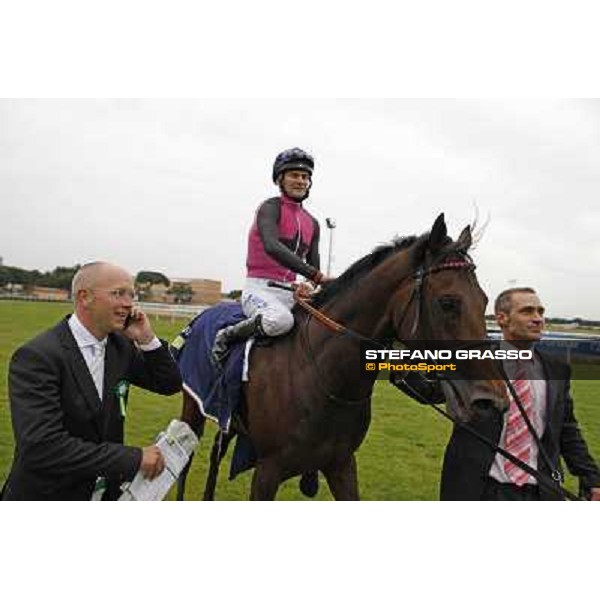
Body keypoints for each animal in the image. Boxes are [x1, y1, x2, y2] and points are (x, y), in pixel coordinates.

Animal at [177, 213, 506, 500]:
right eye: (448, 302)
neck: (323, 379)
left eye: (484, 301)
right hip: (193, 409)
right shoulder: (268, 470)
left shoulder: (341, 464)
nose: (492, 400)